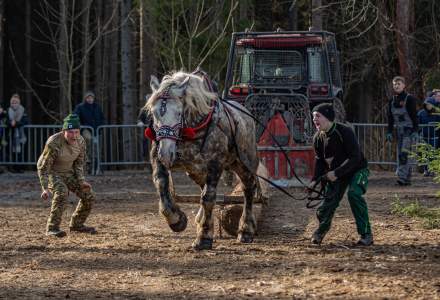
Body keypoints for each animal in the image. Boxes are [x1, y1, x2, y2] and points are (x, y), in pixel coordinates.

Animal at [144, 71, 260, 251]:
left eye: (178, 113)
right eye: (154, 113)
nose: (166, 153)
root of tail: (246, 114)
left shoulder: (215, 164)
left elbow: (208, 197)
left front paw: (204, 236)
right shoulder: (158, 158)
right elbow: (161, 186)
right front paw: (177, 220)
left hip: (244, 163)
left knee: (248, 189)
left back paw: (245, 230)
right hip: (195, 170)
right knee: (201, 186)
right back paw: (200, 219)